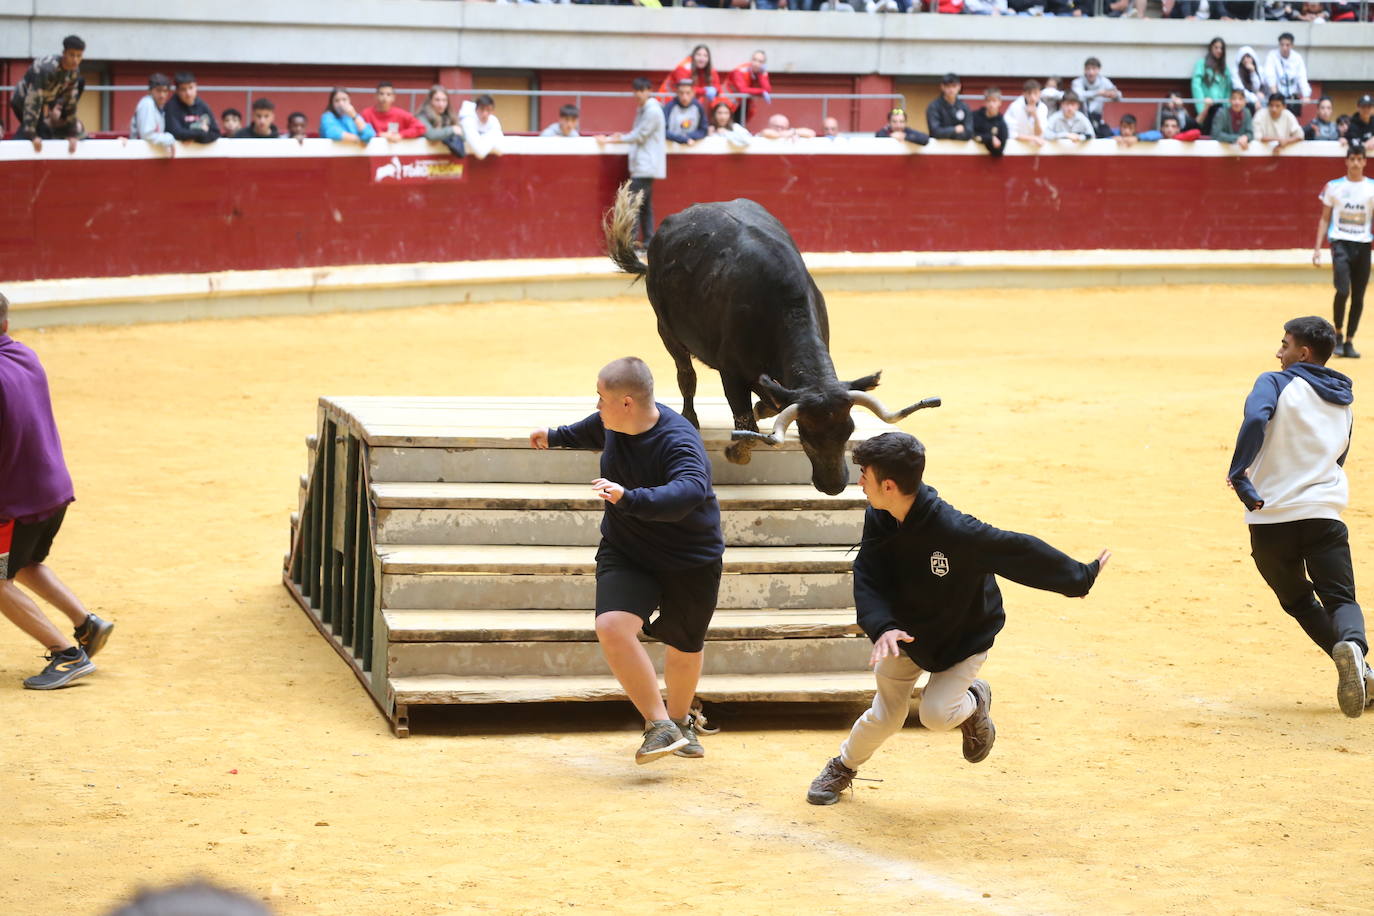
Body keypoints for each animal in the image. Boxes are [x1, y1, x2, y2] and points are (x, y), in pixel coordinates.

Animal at [601, 184, 934, 494]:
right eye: (805, 435)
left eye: (849, 431)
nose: (835, 486)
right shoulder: (731, 373)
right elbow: (745, 425)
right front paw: (735, 450)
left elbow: (771, 405)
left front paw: (763, 408)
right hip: (667, 331)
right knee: (686, 376)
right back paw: (690, 419)